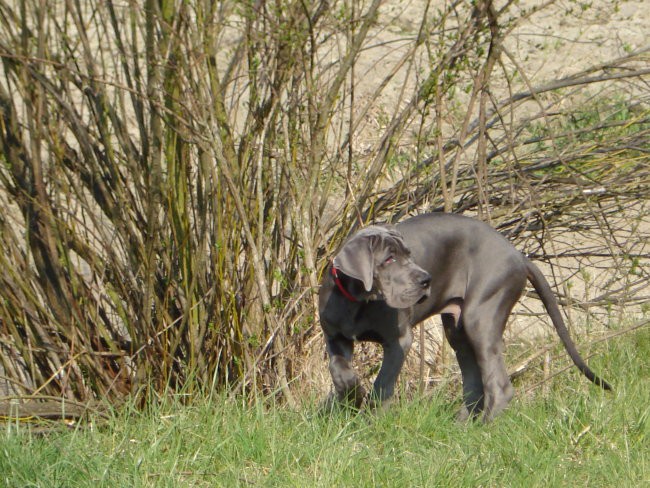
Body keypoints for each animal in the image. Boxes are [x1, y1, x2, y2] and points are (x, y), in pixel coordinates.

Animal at [316, 212, 612, 422]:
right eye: (388, 259)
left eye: (409, 255)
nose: (426, 280)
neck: (358, 299)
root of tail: (519, 256)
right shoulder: (336, 338)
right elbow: (338, 369)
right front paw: (352, 394)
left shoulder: (398, 341)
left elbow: (383, 383)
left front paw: (371, 419)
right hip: (457, 330)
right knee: (474, 383)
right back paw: (461, 426)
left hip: (481, 315)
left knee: (499, 385)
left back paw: (484, 427)